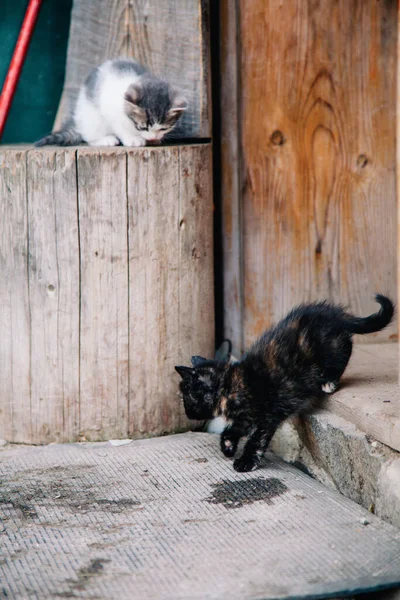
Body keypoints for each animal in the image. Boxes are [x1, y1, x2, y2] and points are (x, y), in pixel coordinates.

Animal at [36, 58, 188, 148]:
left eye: (163, 129)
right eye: (142, 127)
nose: (152, 136)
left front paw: (154, 139)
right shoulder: (112, 112)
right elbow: (120, 128)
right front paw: (132, 139)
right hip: (92, 119)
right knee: (89, 137)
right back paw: (106, 140)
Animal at [174, 296, 394, 474]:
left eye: (187, 398)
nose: (187, 414)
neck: (231, 385)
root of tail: (334, 314)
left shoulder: (266, 417)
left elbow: (256, 440)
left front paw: (246, 462)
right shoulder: (245, 418)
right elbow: (232, 429)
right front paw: (228, 445)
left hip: (328, 347)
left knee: (345, 349)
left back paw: (329, 381)